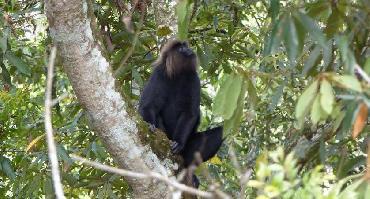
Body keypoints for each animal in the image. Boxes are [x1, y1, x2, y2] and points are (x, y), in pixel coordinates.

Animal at [139, 40, 223, 187]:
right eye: (181, 48)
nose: (189, 49)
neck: (178, 74)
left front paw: (178, 142)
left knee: (220, 132)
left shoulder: (193, 78)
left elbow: (190, 113)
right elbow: (147, 106)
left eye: (186, 46)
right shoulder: (160, 73)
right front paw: (150, 125)